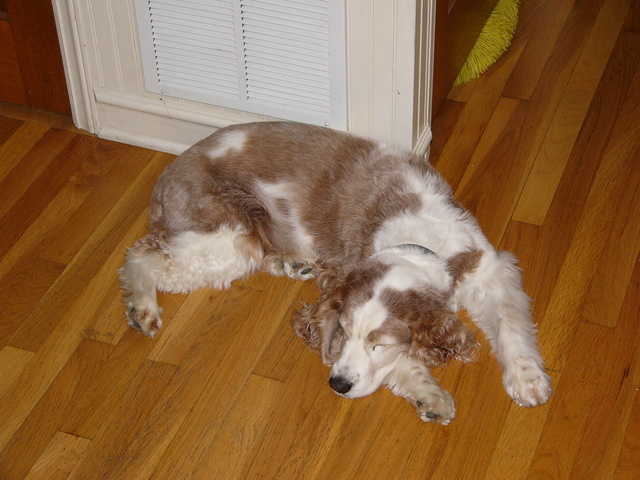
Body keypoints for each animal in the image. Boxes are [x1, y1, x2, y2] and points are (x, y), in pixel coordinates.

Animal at [119, 121, 551, 424]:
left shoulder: (489, 267)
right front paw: (430, 395)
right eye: (342, 331)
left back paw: (291, 262)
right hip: (226, 232)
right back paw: (142, 308)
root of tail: (167, 174)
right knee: (143, 253)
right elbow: (402, 362)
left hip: (235, 243)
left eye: (379, 342)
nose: (336, 384)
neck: (414, 240)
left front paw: (528, 381)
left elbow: (510, 323)